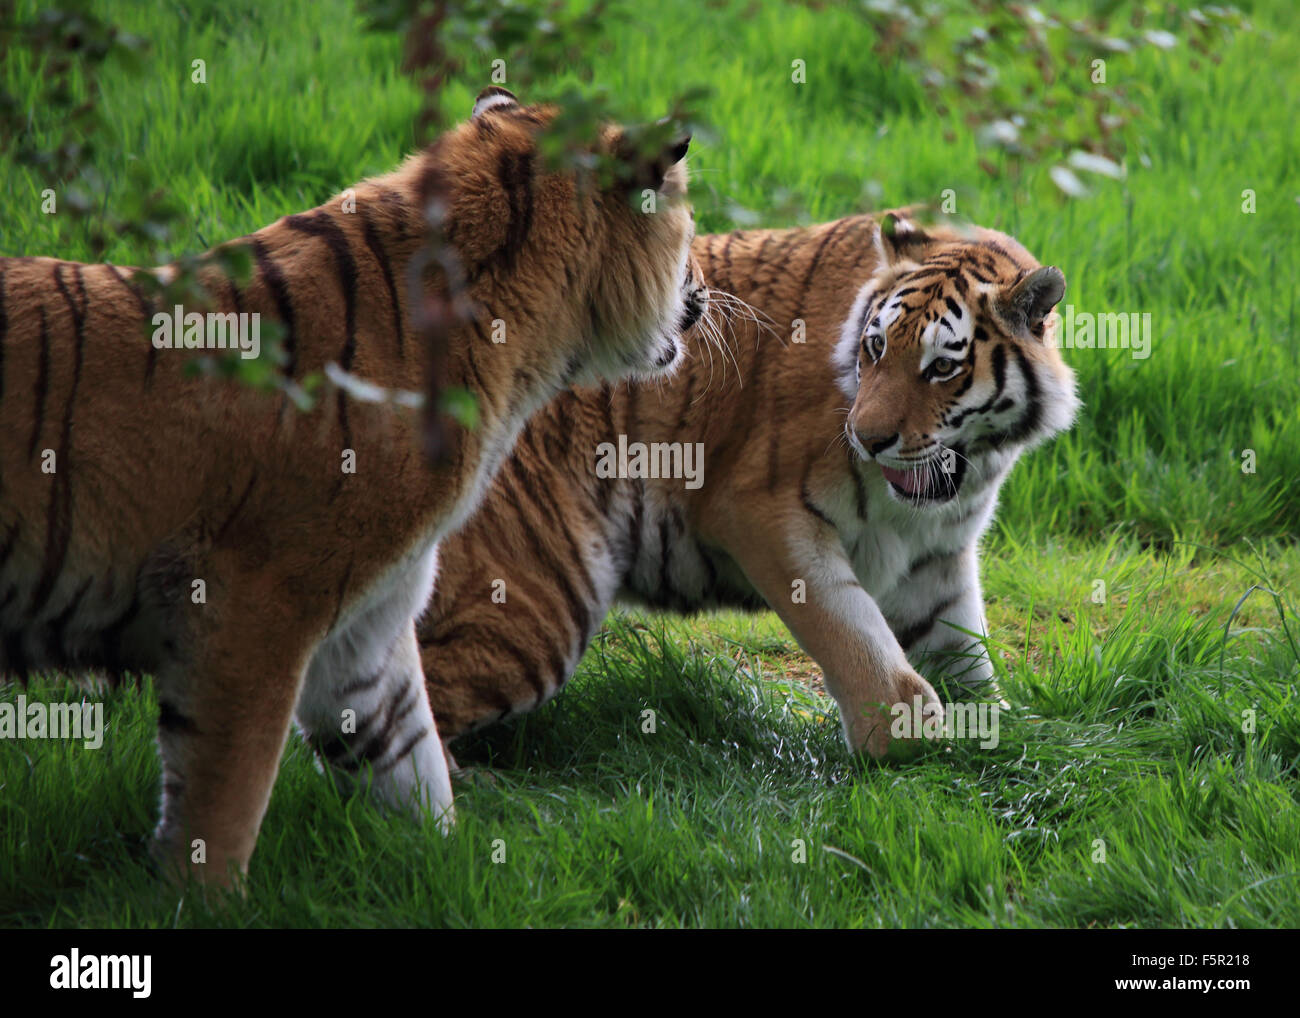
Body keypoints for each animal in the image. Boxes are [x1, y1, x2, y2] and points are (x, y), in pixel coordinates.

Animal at [0, 87, 712, 884]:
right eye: (688, 225)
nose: (703, 291)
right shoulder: (251, 609)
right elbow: (223, 804)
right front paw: (197, 897)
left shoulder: (370, 622)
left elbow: (407, 762)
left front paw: (449, 871)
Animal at [421, 210, 1081, 759]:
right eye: (875, 348)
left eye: (942, 366)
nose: (867, 439)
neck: (970, 470)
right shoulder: (763, 513)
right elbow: (858, 637)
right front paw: (900, 746)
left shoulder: (937, 556)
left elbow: (965, 659)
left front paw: (997, 747)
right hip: (538, 600)